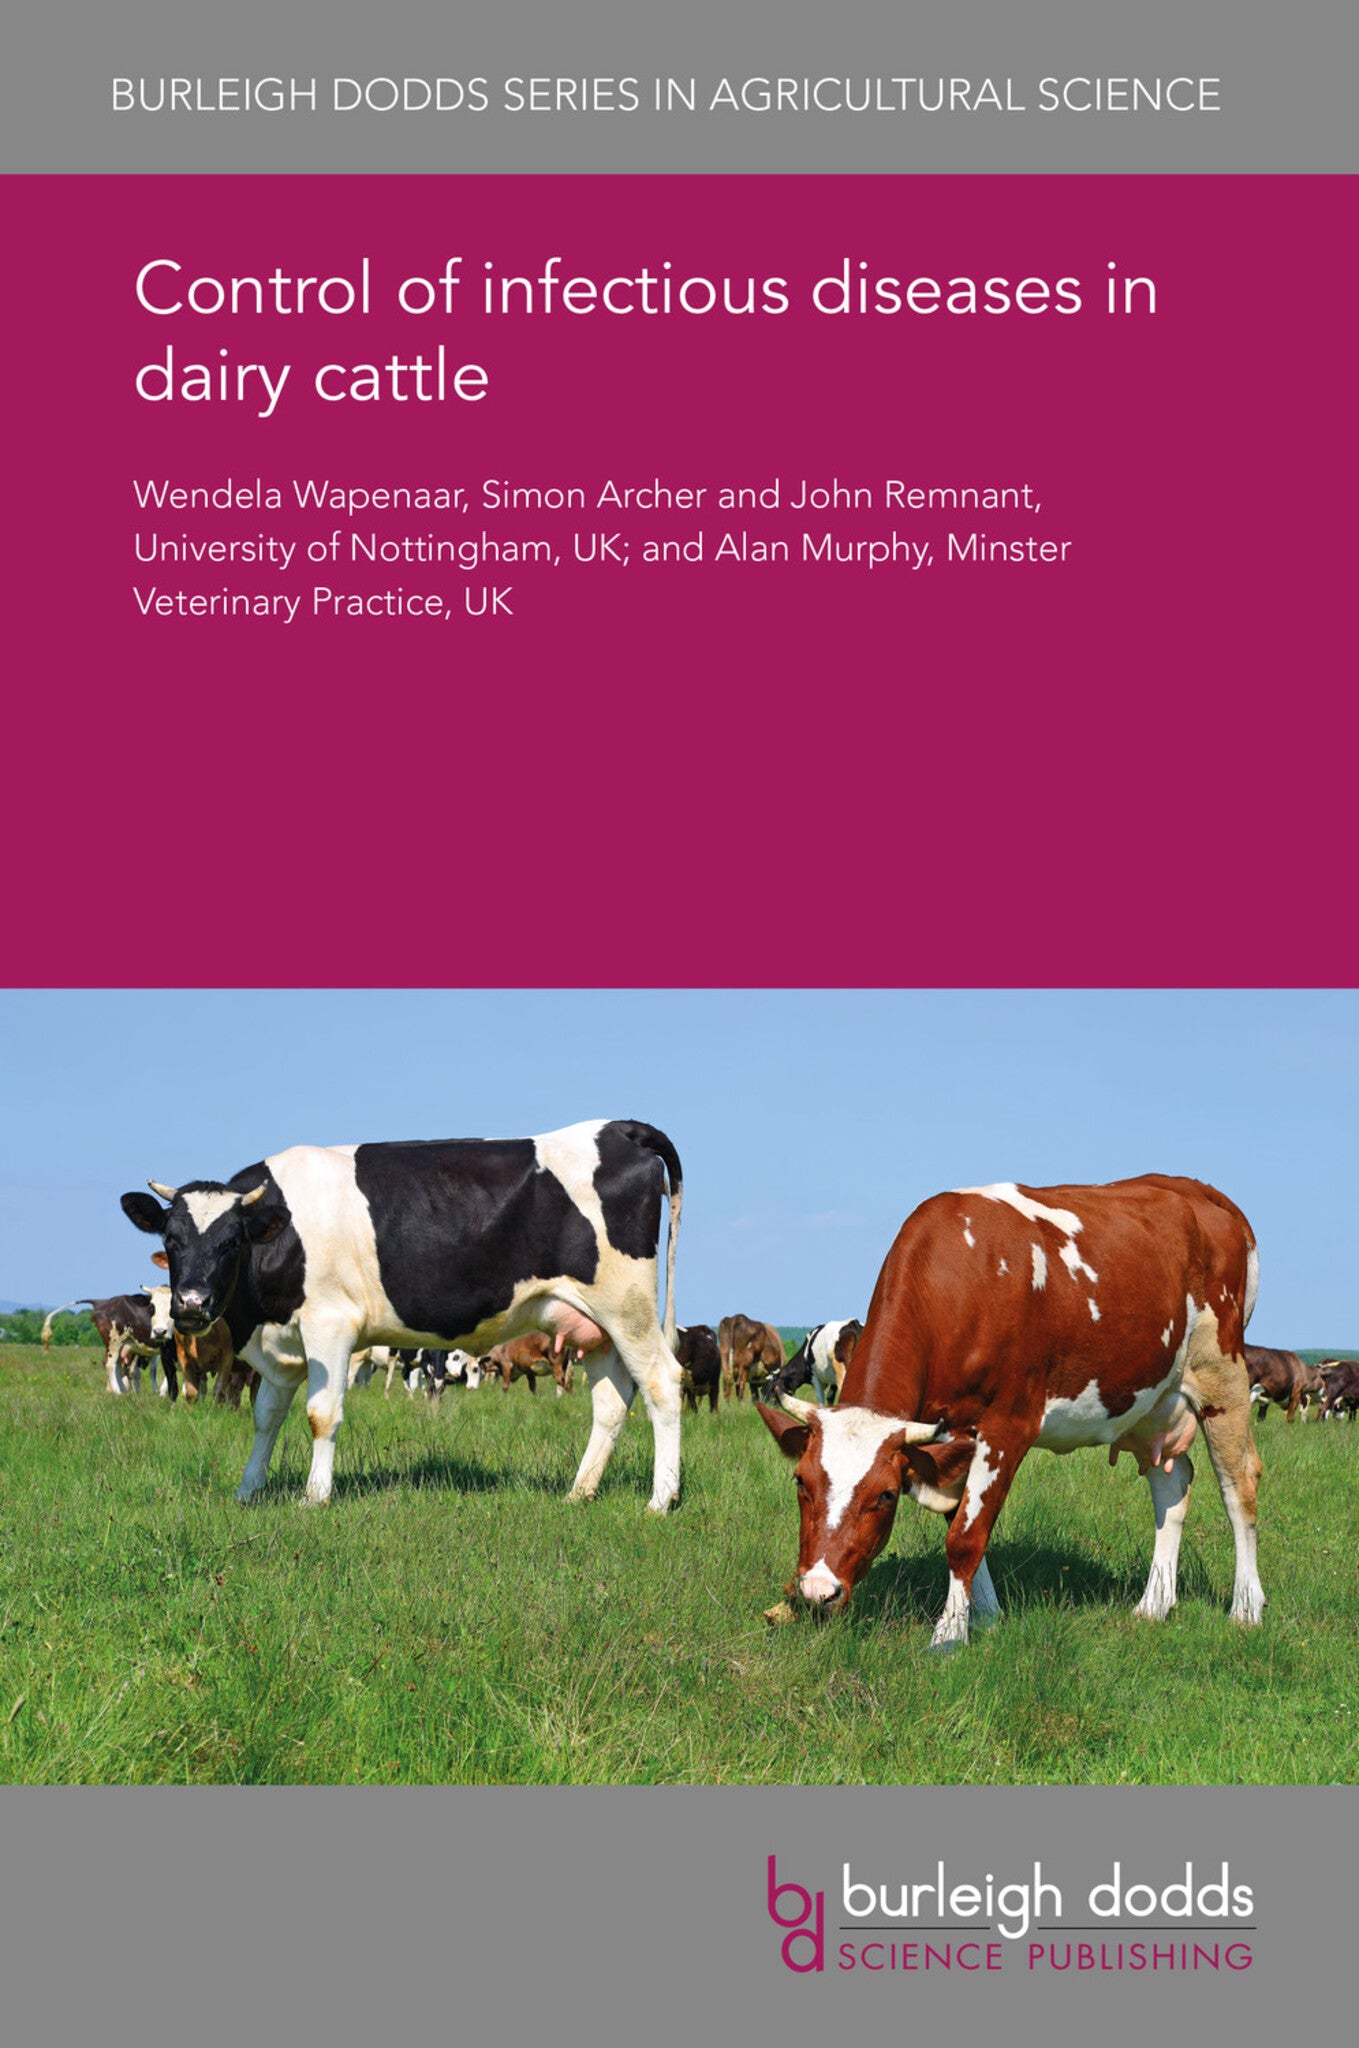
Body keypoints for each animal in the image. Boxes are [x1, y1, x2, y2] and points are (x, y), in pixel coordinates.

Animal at [120, 1118, 683, 1511]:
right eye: (171, 1240)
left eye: (232, 1241)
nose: (191, 1304)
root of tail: (616, 1127)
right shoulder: (279, 1343)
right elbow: (266, 1417)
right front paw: (248, 1490)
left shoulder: (330, 1326)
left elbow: (321, 1414)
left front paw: (314, 1497)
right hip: (594, 1326)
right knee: (611, 1401)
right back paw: (579, 1493)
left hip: (626, 1307)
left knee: (662, 1382)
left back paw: (661, 1500)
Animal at [759, 1176, 1265, 1650]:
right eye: (800, 1481)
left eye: (884, 1495)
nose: (817, 1591)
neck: (959, 1282)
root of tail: (1197, 1189)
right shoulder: (948, 1440)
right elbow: (961, 1521)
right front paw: (983, 1616)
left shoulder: (1007, 1426)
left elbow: (966, 1536)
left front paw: (949, 1635)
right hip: (1153, 1401)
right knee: (1171, 1484)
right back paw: (1154, 1604)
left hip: (1222, 1375)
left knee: (1238, 1486)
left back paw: (1245, 1607)